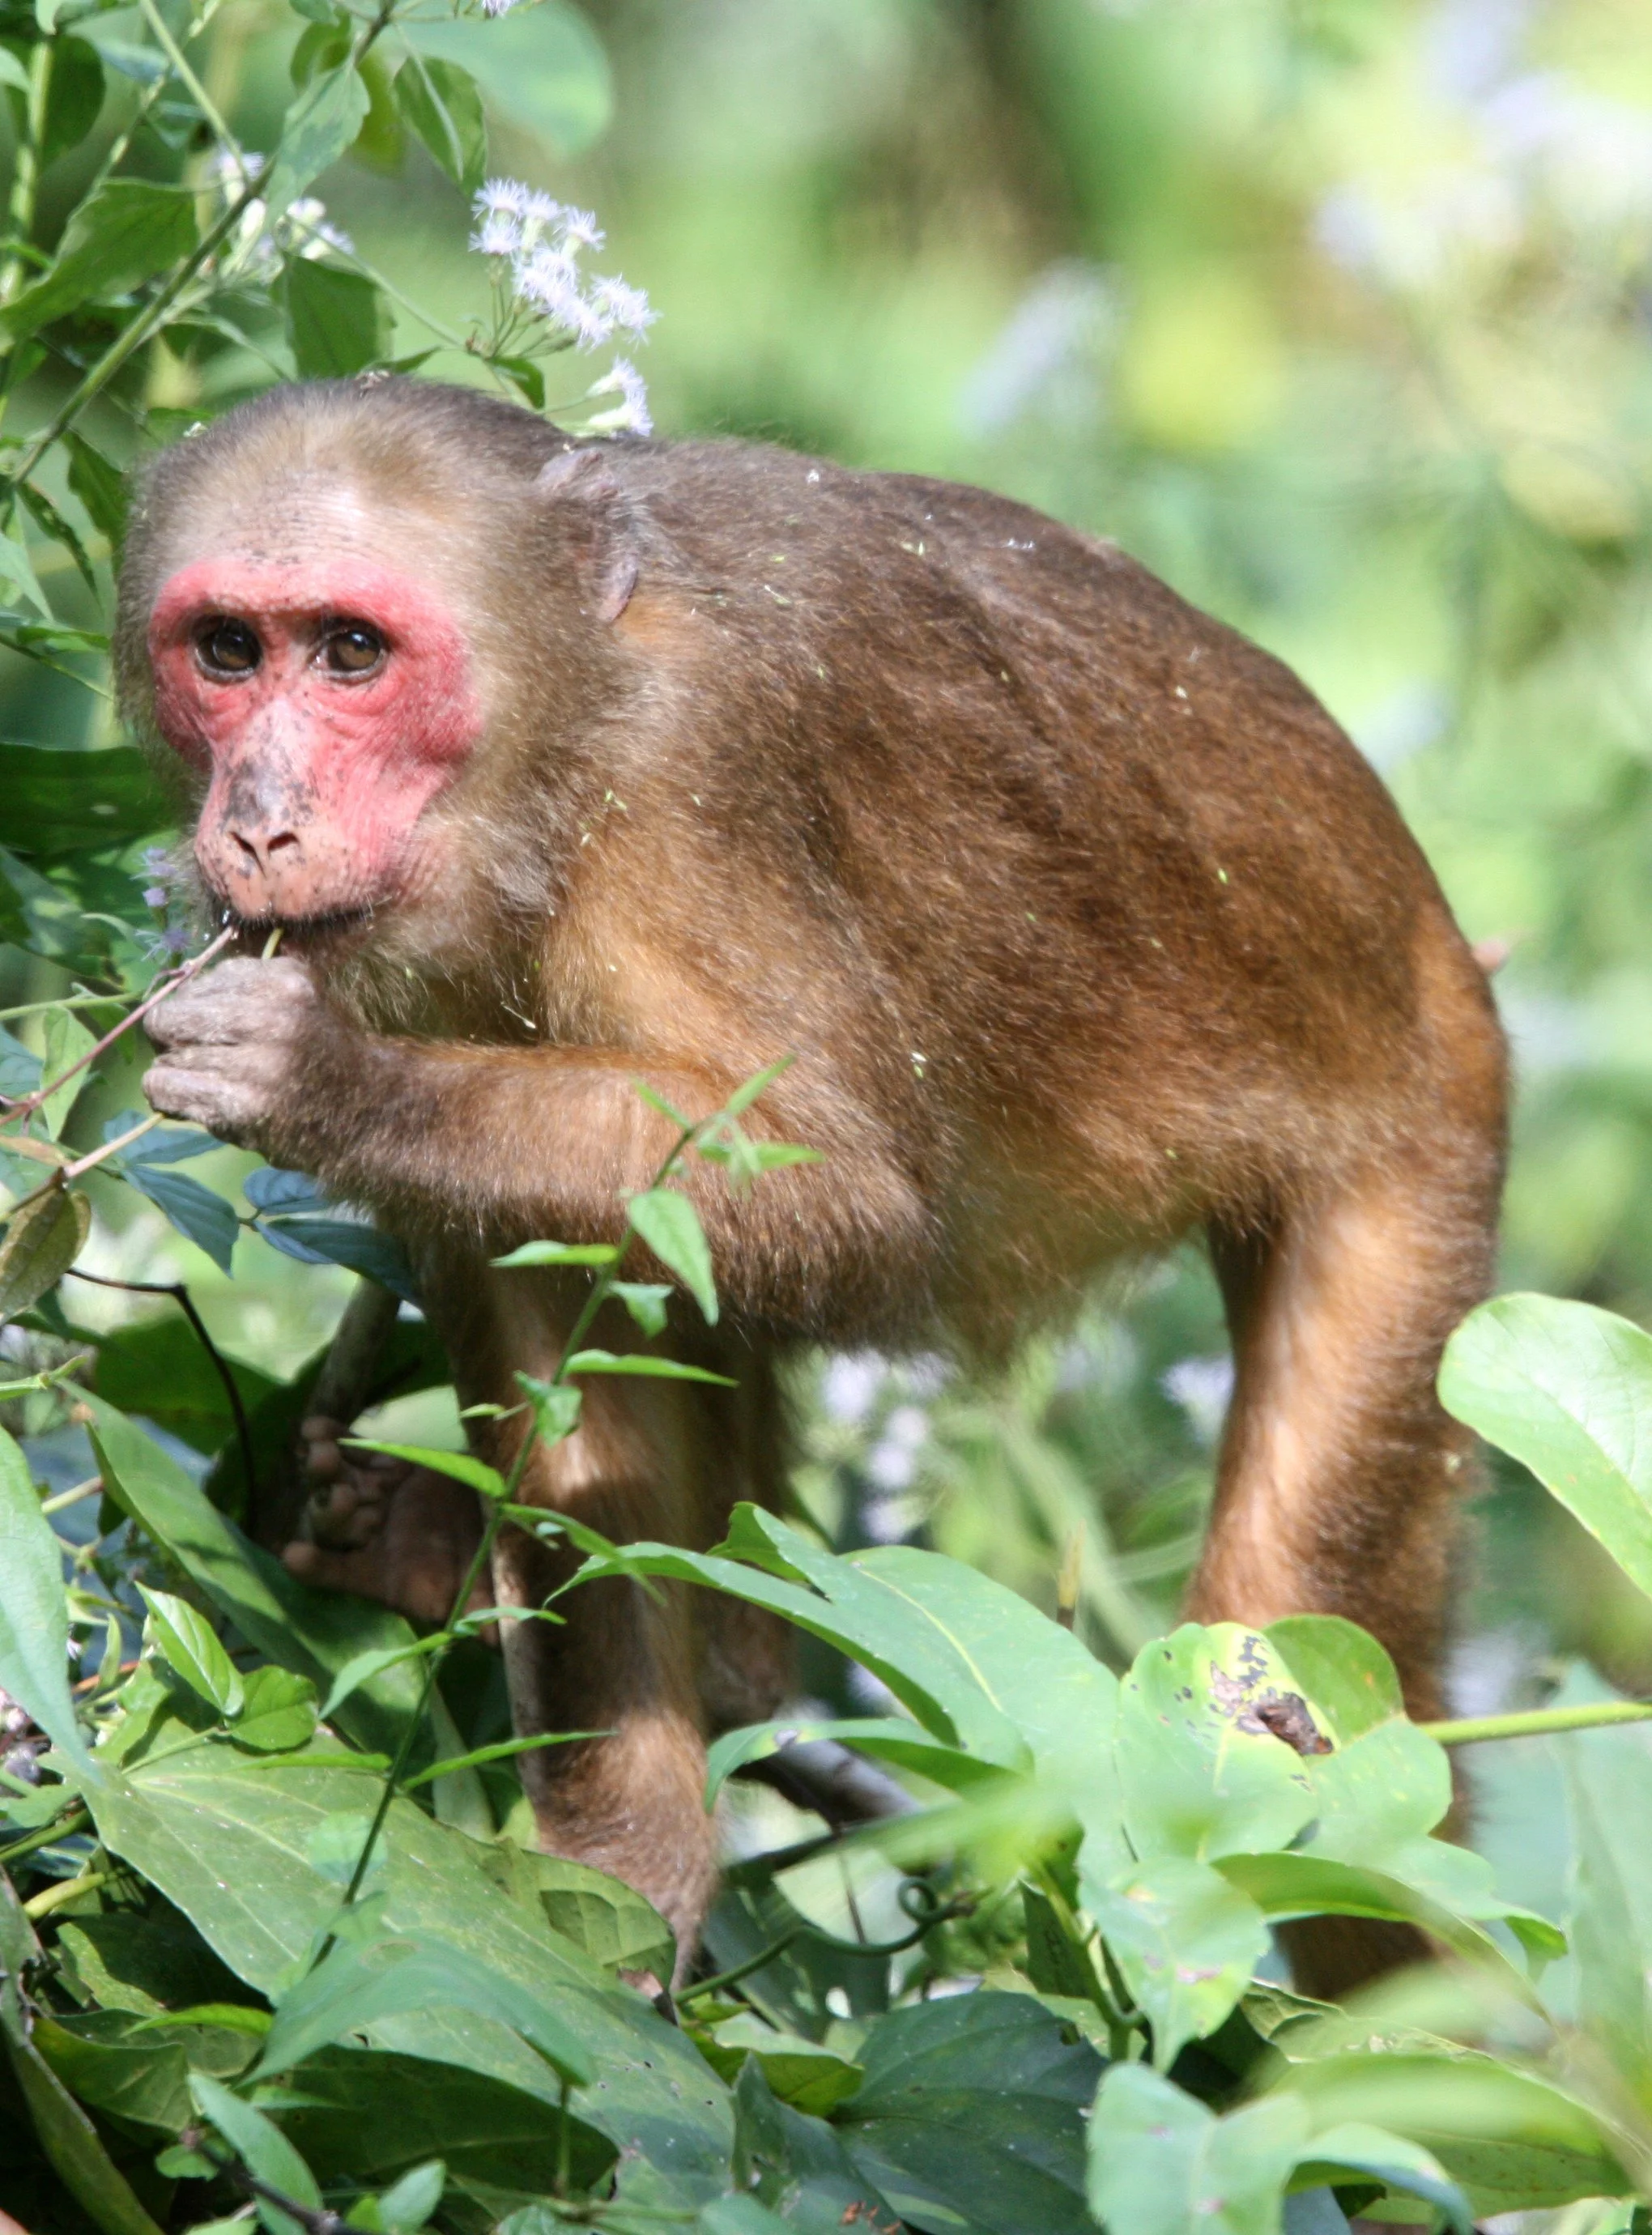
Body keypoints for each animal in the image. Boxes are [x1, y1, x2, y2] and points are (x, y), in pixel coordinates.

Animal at [118, 377, 1506, 1988]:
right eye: (229, 651)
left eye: (352, 652)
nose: (259, 818)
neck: (568, 711)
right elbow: (575, 1344)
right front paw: (618, 1901)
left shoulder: (695, 776)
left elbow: (851, 1203)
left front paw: (320, 1081)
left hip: (1427, 1145)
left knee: (1284, 1651)